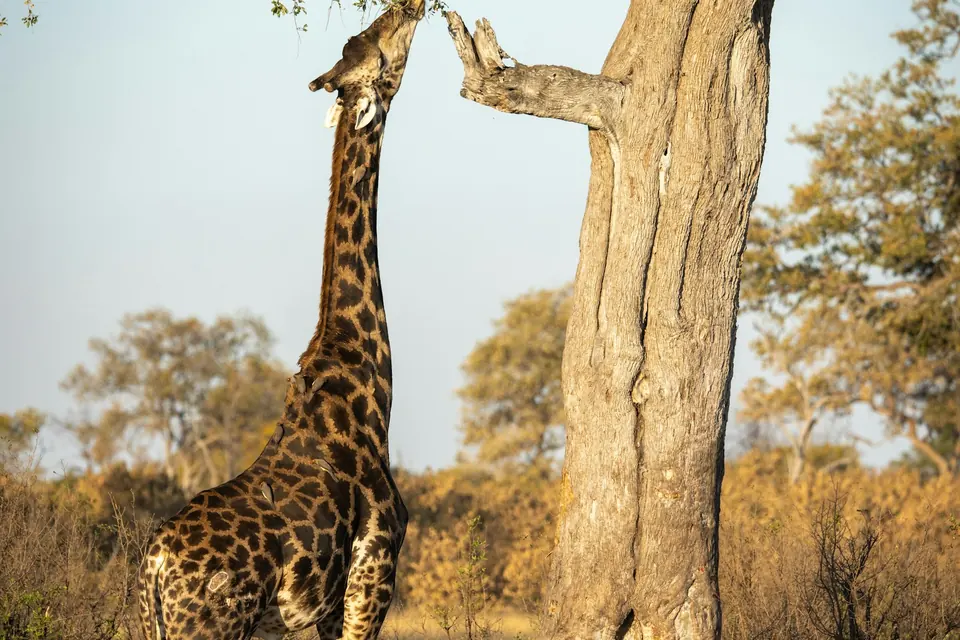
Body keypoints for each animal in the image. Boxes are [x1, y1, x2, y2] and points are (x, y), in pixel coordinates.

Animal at [137, 3, 424, 638]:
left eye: (363, 37)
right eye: (381, 46)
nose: (409, 8)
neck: (370, 386)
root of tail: (155, 565)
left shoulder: (317, 611)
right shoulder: (372, 576)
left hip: (151, 623)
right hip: (211, 624)